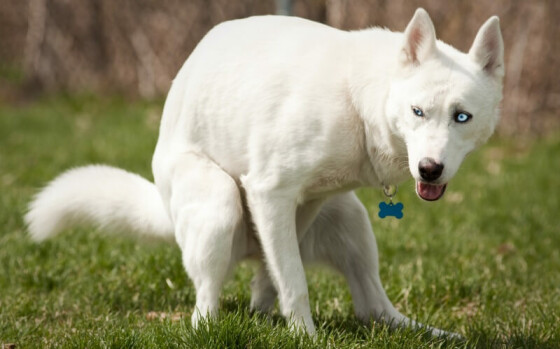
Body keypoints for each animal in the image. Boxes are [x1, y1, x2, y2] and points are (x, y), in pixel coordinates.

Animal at [27, 9, 504, 338]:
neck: (358, 100)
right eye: (417, 111)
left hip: (350, 219)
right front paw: (305, 337)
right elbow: (294, 281)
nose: (430, 169)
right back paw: (208, 328)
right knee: (205, 301)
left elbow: (277, 274)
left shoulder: (305, 202)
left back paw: (434, 335)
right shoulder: (268, 193)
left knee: (374, 308)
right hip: (220, 206)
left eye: (462, 117)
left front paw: (279, 319)